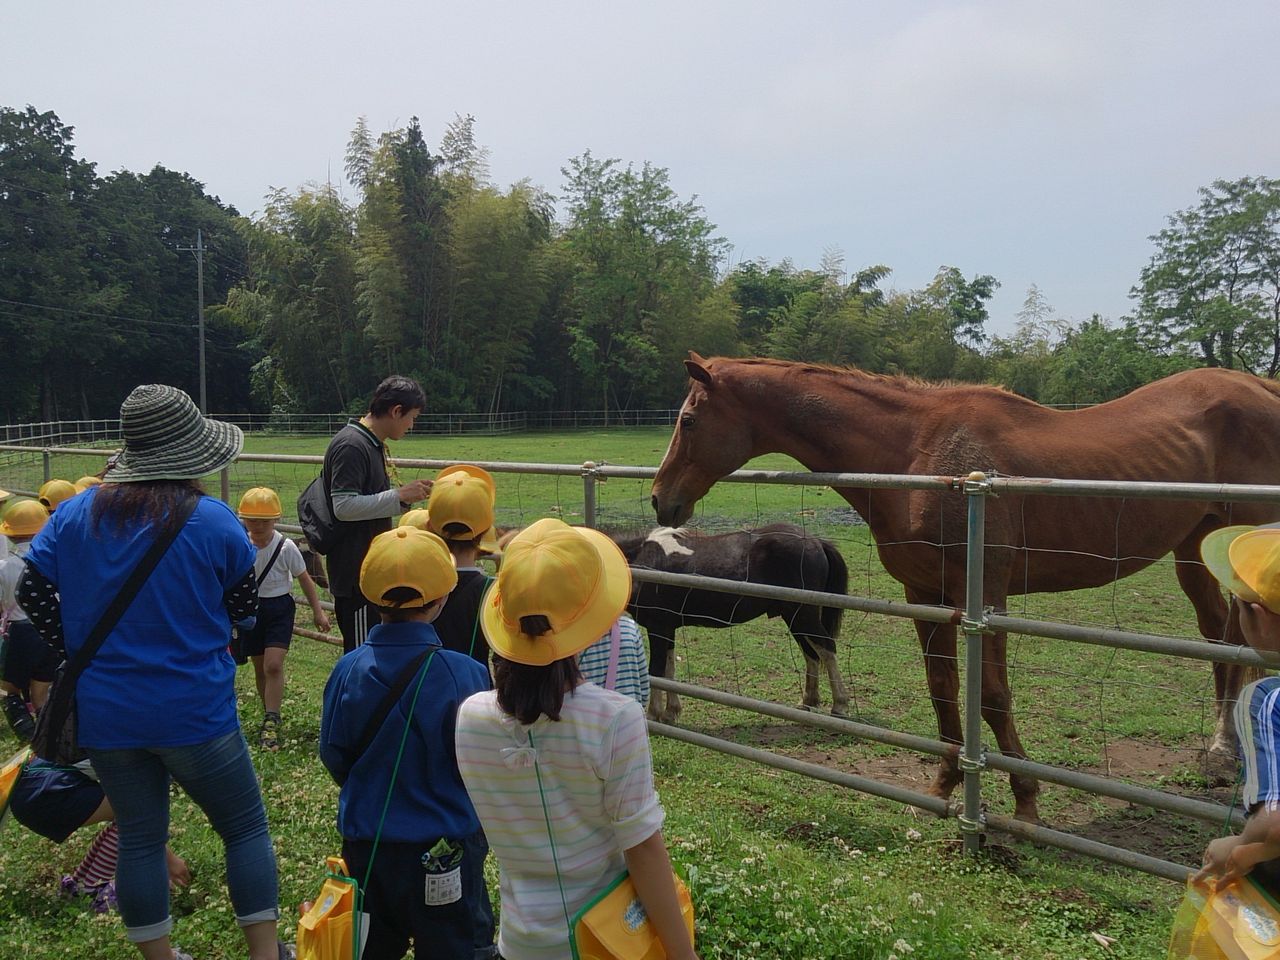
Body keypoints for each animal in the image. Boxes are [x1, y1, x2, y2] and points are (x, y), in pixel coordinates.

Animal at [609, 524, 850, 723]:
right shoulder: (667, 629)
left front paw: (653, 714)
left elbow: (657, 671)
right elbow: (669, 669)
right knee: (811, 653)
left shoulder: (658, 628)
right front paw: (671, 712)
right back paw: (808, 701)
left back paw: (840, 705)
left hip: (803, 615)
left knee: (826, 649)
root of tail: (816, 542)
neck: (642, 559)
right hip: (794, 618)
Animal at [650, 353, 1280, 823]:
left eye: (687, 420)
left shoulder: (987, 595)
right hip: (1195, 548)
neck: (919, 453)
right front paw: (944, 785)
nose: (661, 499)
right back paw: (1221, 751)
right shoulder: (926, 595)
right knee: (1221, 641)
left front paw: (1024, 800)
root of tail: (1261, 388)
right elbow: (943, 688)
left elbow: (992, 694)